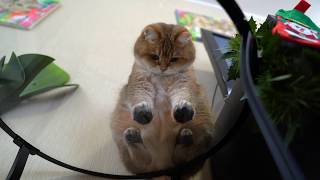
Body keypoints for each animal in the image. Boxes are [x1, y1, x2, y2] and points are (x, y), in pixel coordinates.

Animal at [110, 22, 215, 177]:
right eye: (155, 56)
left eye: (174, 59)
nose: (163, 68)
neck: (162, 78)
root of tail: (161, 167)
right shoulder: (140, 83)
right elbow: (140, 100)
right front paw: (143, 112)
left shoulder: (183, 83)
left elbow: (183, 97)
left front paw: (183, 111)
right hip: (127, 146)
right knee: (139, 157)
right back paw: (132, 136)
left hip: (201, 136)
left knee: (183, 155)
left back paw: (185, 137)